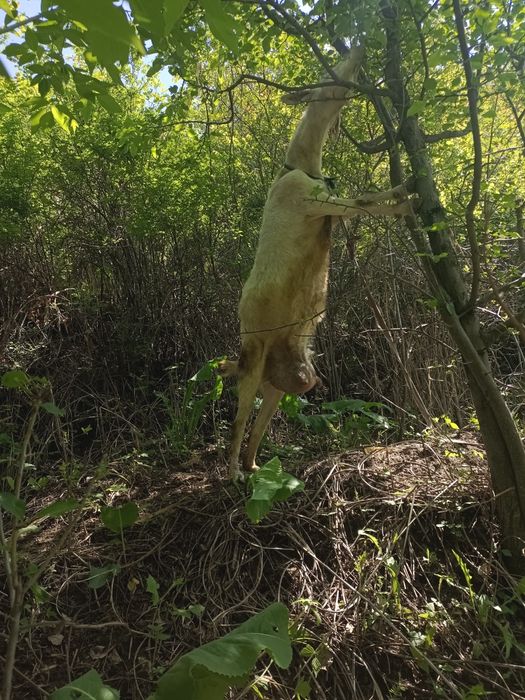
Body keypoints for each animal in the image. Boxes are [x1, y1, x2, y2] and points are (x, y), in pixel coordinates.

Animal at [221, 46, 412, 480]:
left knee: (260, 424)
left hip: (286, 383)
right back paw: (234, 472)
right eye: (328, 80)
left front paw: (404, 197)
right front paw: (407, 194)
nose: (357, 49)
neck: (299, 167)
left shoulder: (329, 211)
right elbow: (363, 199)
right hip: (251, 359)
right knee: (238, 422)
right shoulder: (314, 204)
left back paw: (256, 466)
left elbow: (364, 202)